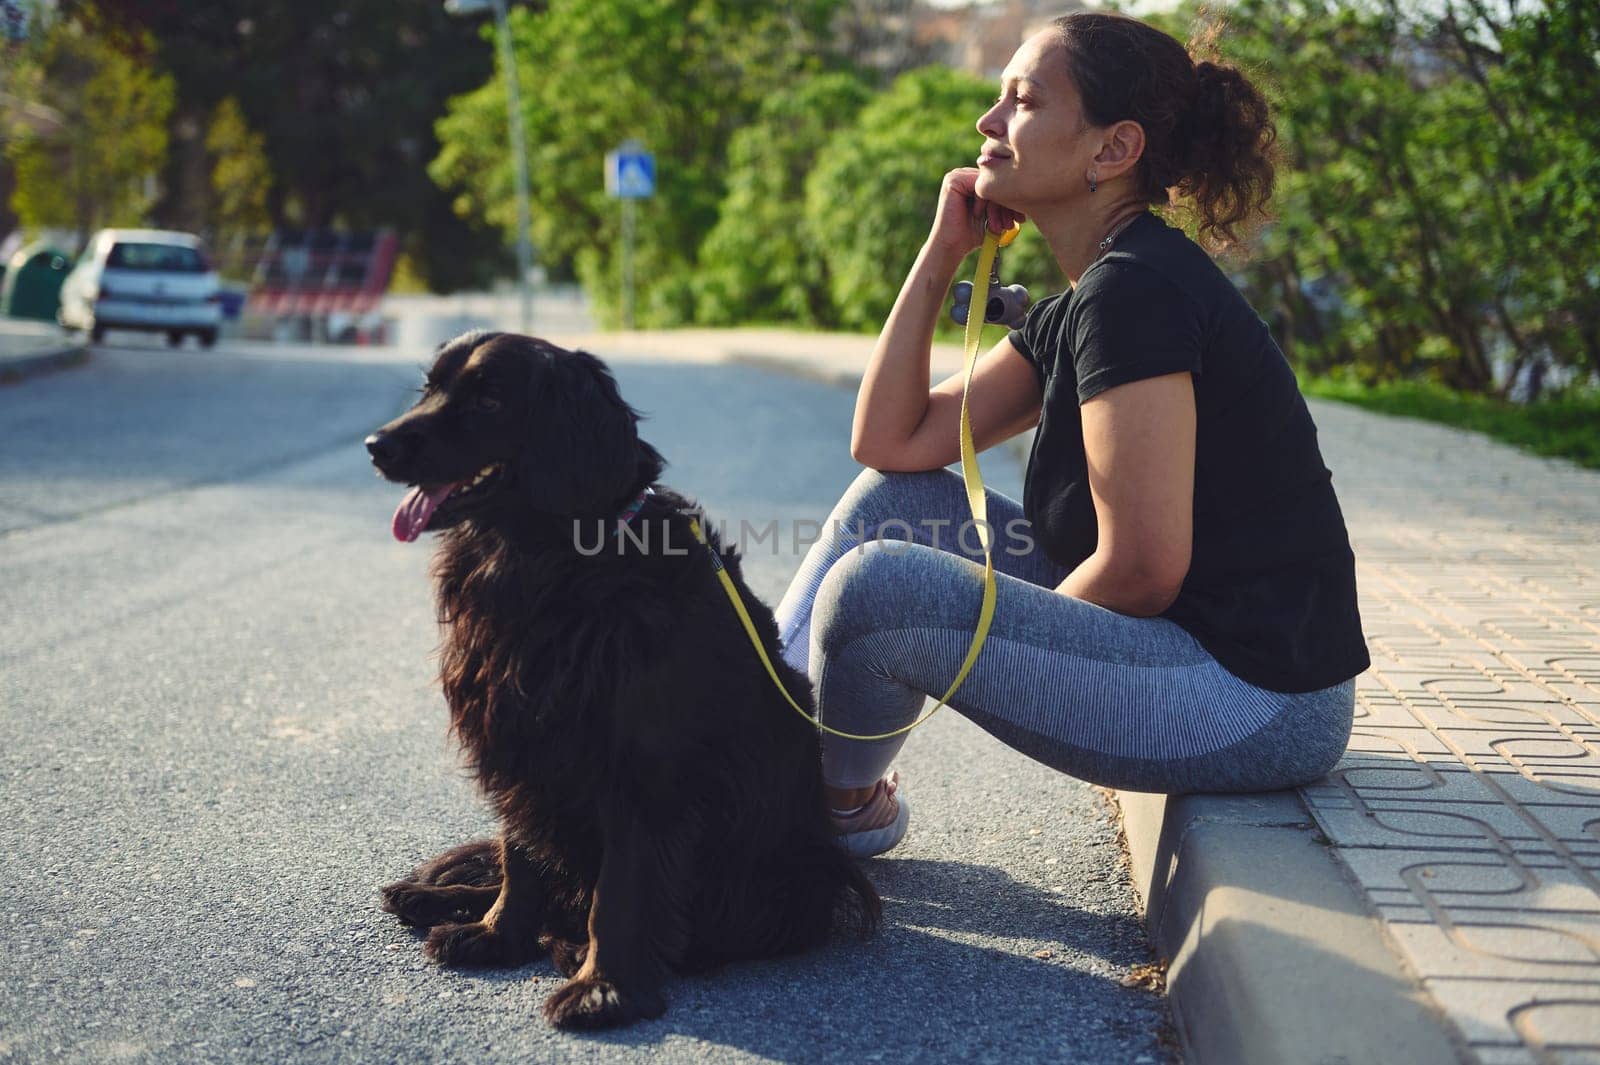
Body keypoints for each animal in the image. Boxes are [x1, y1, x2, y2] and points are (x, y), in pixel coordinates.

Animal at [363, 334, 883, 1029]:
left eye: (490, 400)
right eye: (430, 388)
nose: (377, 445)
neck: (556, 560)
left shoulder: (639, 767)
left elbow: (620, 890)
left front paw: (602, 988)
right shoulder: (524, 740)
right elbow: (518, 859)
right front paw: (498, 936)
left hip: (784, 876)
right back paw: (435, 898)